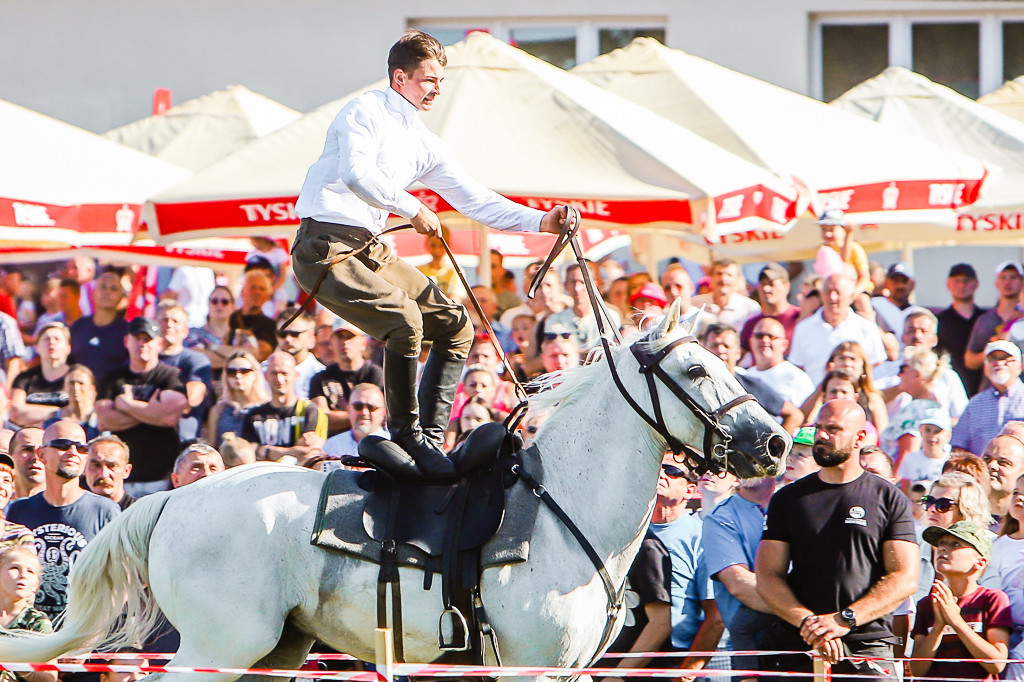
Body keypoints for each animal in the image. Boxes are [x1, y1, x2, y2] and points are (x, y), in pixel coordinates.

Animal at [0, 303, 786, 679]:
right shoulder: (526, 668)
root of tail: (170, 501)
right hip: (221, 646)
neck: (565, 504)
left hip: (271, 654)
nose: (775, 443)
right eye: (696, 370)